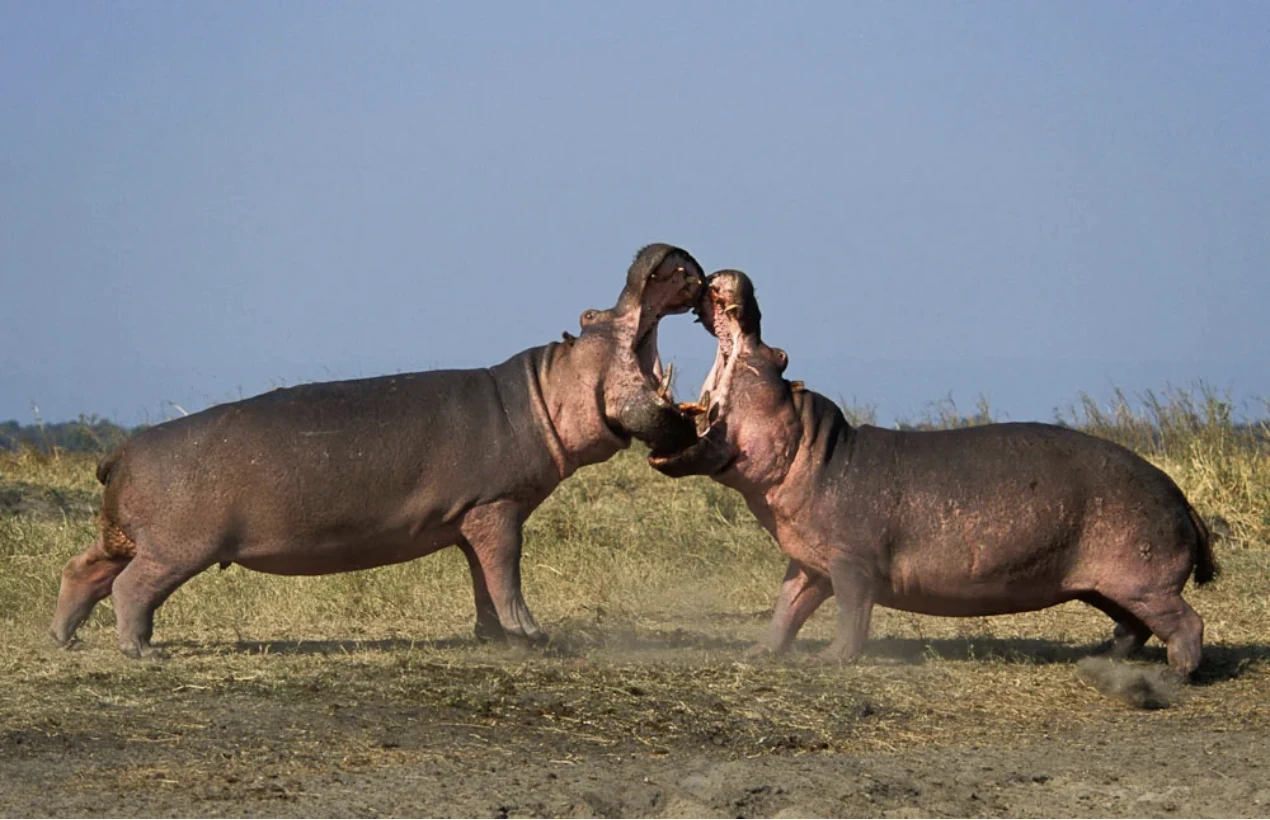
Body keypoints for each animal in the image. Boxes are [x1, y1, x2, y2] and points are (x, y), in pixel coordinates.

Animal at [52, 244, 704, 658]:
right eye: (593, 315)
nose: (661, 253)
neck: (547, 389)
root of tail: (120, 453)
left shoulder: (473, 516)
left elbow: (483, 578)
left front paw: (495, 637)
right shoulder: (496, 506)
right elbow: (507, 571)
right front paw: (536, 637)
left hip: (125, 536)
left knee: (83, 568)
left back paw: (64, 638)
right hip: (177, 548)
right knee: (132, 588)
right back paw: (142, 653)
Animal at [645, 270, 1217, 678]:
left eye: (779, 355)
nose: (738, 279)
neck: (812, 447)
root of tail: (1180, 495)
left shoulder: (852, 563)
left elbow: (852, 613)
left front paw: (829, 660)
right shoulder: (809, 563)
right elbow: (786, 608)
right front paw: (757, 652)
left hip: (1142, 580)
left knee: (1186, 621)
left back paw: (1177, 674)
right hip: (1104, 585)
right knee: (1134, 626)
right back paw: (1098, 658)